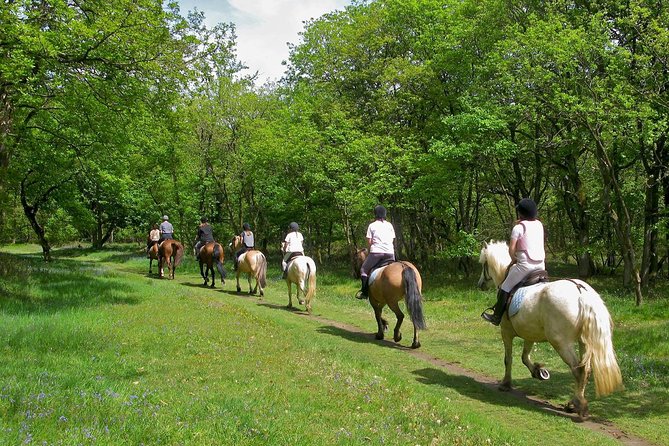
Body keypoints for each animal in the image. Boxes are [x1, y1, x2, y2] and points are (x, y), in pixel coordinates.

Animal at [477, 240, 623, 420]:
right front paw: (539, 372)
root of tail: (581, 293)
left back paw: (578, 405)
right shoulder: (530, 334)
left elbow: (508, 359)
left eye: (484, 264)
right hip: (584, 342)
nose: (480, 284)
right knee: (586, 370)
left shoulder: (506, 332)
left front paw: (506, 383)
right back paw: (574, 403)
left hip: (561, 342)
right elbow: (524, 357)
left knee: (578, 370)